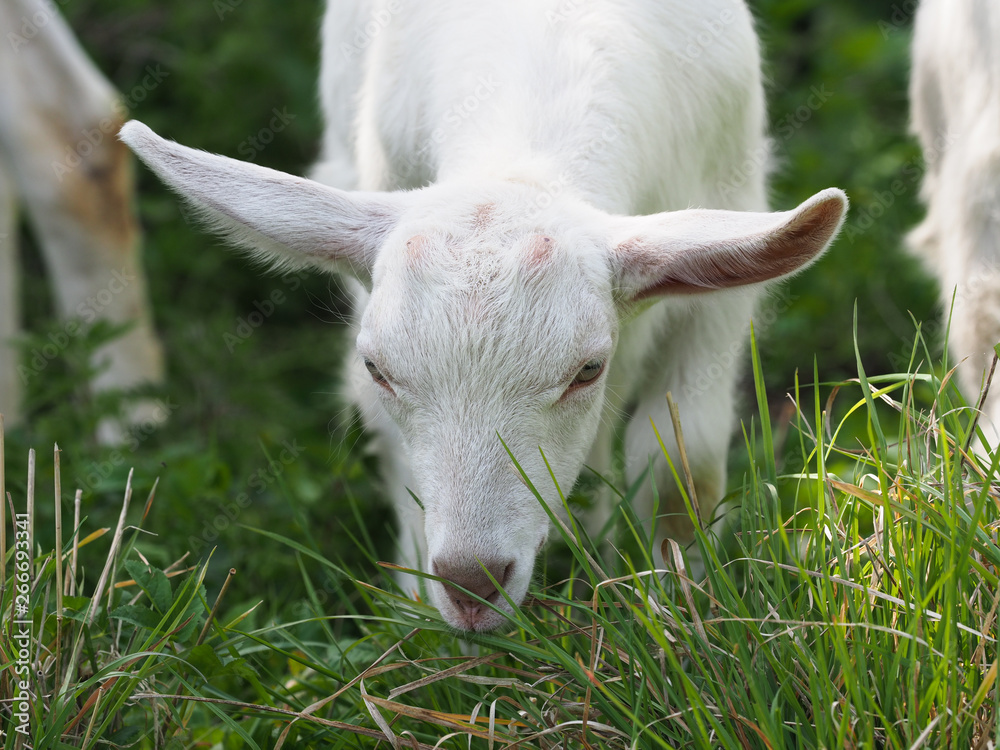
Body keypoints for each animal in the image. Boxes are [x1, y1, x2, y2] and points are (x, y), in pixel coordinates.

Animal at [121, 0, 846, 631]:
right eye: (377, 368)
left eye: (588, 369)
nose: (472, 584)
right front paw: (421, 618)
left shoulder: (725, 245)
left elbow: (680, 461)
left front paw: (680, 602)